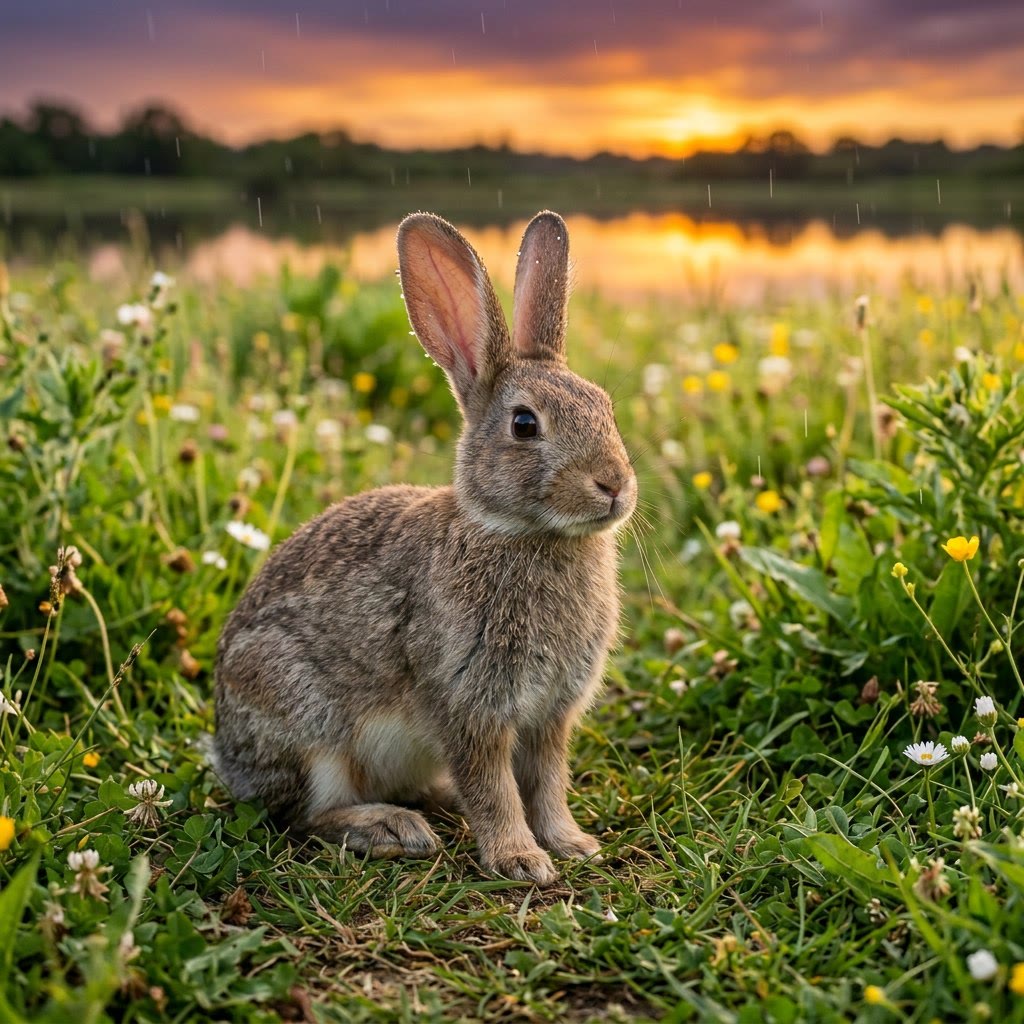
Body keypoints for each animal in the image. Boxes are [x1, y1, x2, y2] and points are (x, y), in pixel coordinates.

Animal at [213, 210, 637, 885]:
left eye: (605, 406)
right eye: (525, 424)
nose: (615, 485)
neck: (524, 532)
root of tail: (224, 752)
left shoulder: (550, 716)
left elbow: (546, 784)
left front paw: (571, 844)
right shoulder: (468, 704)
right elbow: (493, 788)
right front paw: (520, 860)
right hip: (306, 725)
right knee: (307, 814)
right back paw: (391, 828)